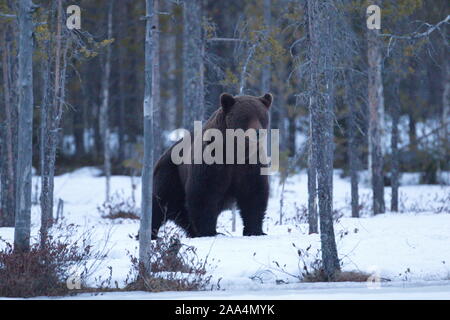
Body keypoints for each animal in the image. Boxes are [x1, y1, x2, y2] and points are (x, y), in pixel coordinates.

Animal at [151, 92, 272, 238]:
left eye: (261, 116)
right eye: (245, 117)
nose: (257, 132)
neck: (235, 151)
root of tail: (164, 153)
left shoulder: (250, 164)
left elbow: (254, 193)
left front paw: (255, 231)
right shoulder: (212, 162)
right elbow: (204, 193)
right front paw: (209, 231)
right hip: (171, 173)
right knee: (159, 203)